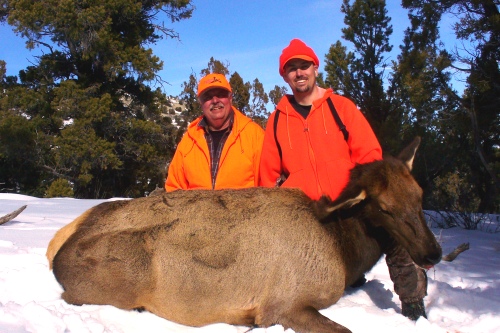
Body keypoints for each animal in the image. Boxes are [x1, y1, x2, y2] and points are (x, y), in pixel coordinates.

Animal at [47, 136, 442, 330]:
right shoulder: (285, 303)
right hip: (122, 277)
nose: (433, 253)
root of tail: (58, 250)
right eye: (384, 207)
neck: (343, 252)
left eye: (420, 195)